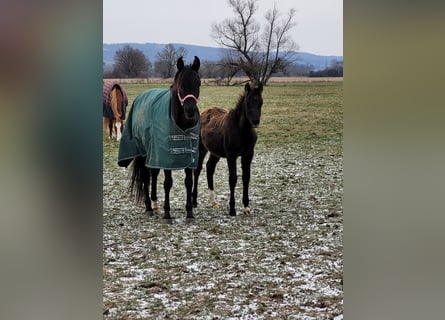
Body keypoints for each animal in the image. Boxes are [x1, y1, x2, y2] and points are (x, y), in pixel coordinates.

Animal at [118, 56, 201, 219]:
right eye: (180, 85)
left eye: (198, 83)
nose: (190, 111)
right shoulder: (166, 157)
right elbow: (168, 183)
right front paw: (167, 213)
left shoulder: (189, 157)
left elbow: (188, 181)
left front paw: (189, 212)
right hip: (143, 152)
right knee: (145, 176)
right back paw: (149, 206)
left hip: (153, 152)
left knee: (154, 173)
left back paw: (155, 204)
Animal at [193, 81, 262, 216]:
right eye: (248, 102)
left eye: (261, 102)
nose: (256, 122)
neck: (242, 131)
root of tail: (204, 111)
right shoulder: (231, 155)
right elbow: (233, 178)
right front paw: (232, 209)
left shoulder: (248, 155)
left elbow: (246, 177)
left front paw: (246, 207)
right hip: (201, 148)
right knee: (197, 170)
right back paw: (194, 201)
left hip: (215, 152)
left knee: (210, 168)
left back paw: (213, 201)